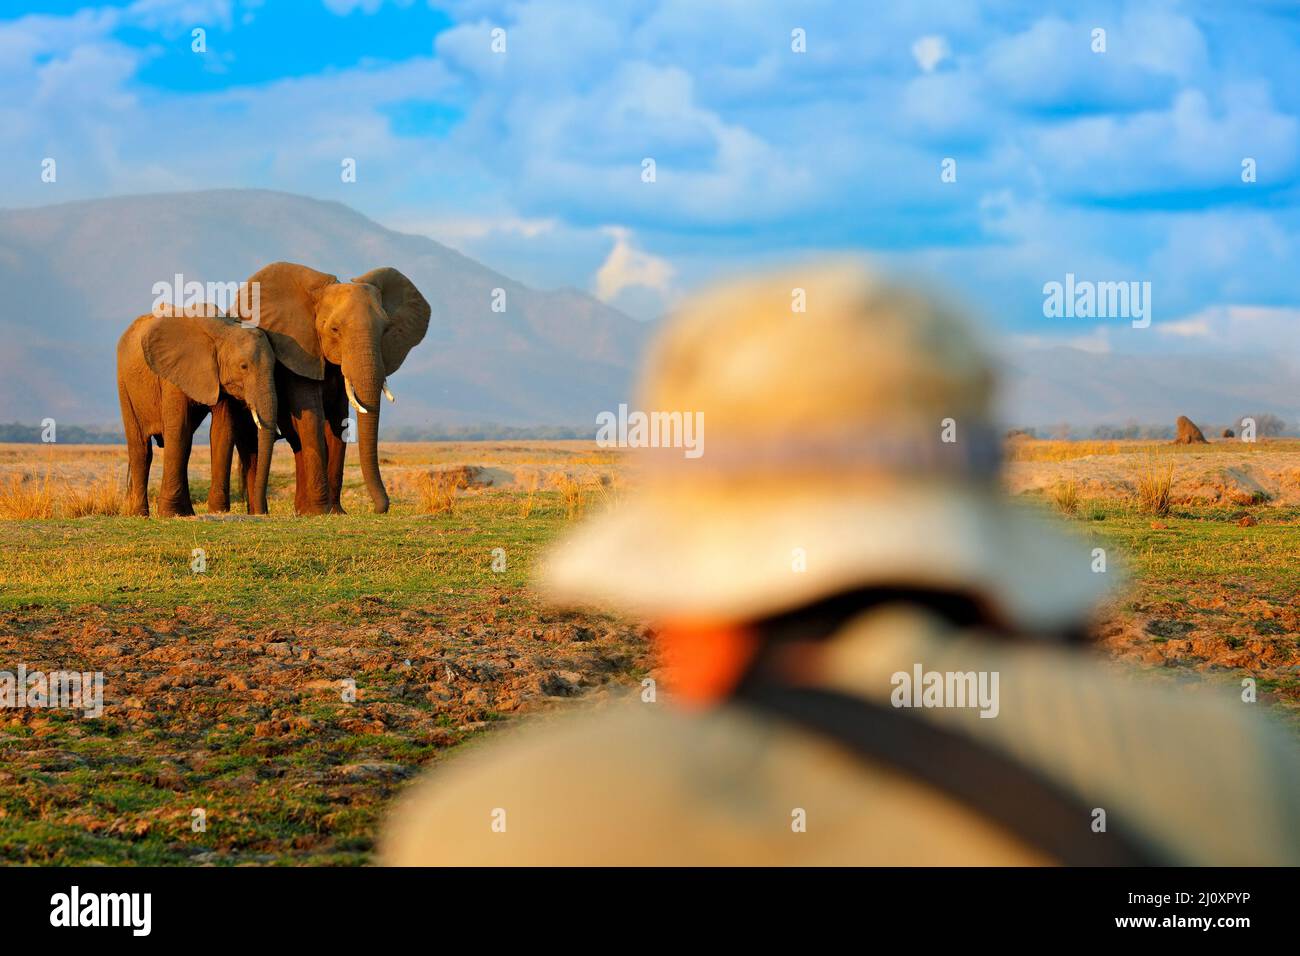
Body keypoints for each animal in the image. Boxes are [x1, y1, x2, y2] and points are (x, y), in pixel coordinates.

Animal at [116, 306, 279, 517]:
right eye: (244, 366)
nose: (260, 513)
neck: (223, 330)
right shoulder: (172, 372)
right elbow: (178, 430)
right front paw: (169, 514)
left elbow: (222, 432)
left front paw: (218, 512)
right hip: (125, 384)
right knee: (142, 449)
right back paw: (139, 514)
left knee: (185, 447)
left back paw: (187, 513)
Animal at [226, 262, 430, 514]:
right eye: (334, 329)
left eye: (386, 330)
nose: (378, 508)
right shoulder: (300, 351)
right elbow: (312, 417)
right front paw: (320, 512)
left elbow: (338, 420)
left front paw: (335, 512)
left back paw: (301, 510)